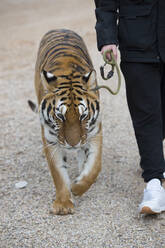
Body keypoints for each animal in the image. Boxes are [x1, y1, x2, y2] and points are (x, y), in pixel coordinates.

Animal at [28, 29, 102, 215]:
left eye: (83, 116)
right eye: (60, 116)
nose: (73, 143)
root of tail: (59, 28)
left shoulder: (95, 132)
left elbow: (95, 166)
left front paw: (77, 187)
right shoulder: (50, 140)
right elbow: (58, 173)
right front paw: (63, 205)